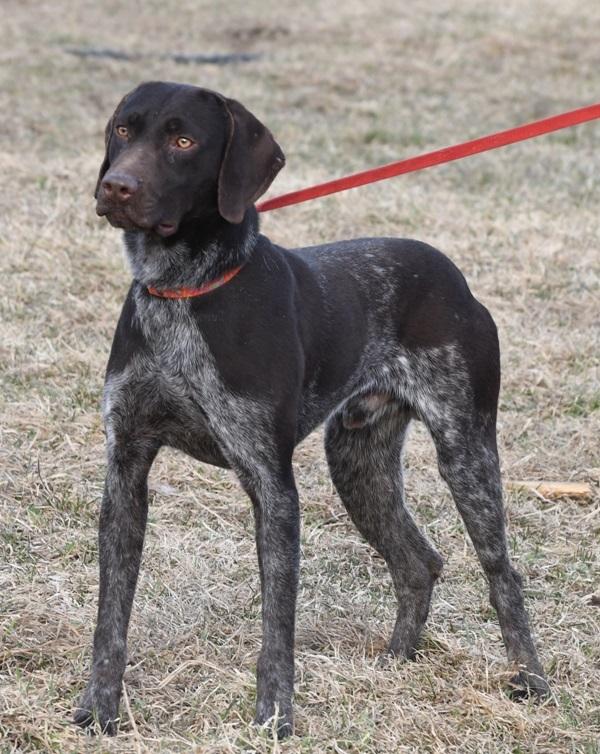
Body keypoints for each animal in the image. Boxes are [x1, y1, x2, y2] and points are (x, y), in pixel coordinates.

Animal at [75, 82, 548, 736]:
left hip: (466, 453)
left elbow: (278, 624)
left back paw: (530, 679)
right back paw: (395, 662)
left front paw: (275, 716)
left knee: (502, 571)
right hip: (358, 462)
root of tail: (453, 276)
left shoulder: (270, 484)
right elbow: (111, 615)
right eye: (124, 129)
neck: (184, 287)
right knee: (419, 562)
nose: (117, 186)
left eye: (184, 140)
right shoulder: (126, 467)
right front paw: (100, 706)